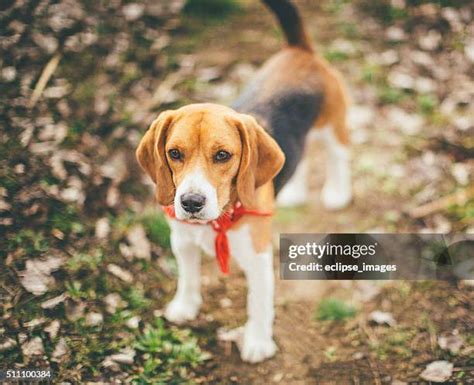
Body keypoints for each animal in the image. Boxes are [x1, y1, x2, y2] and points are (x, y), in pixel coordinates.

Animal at [135, 0, 350, 362]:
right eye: (174, 153)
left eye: (223, 155)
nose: (190, 202)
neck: (217, 221)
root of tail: (300, 50)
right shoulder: (182, 242)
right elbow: (188, 278)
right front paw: (185, 306)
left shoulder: (259, 259)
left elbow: (258, 305)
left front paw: (258, 342)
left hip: (333, 126)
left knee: (339, 156)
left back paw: (338, 192)